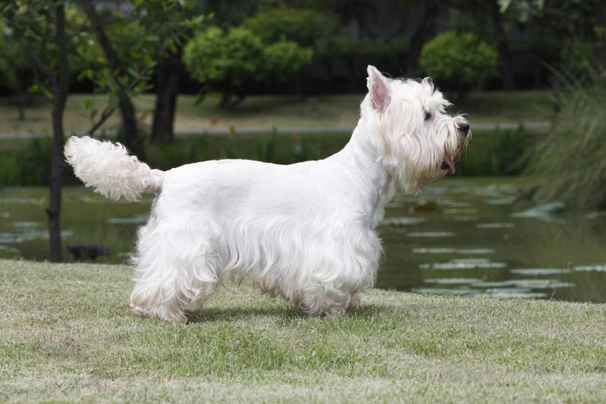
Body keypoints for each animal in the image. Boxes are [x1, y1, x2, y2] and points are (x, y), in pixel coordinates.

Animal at [65, 65, 470, 322]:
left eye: (441, 110)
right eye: (426, 116)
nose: (464, 127)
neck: (359, 172)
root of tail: (163, 177)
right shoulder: (335, 247)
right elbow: (333, 281)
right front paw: (335, 311)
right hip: (186, 242)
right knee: (163, 281)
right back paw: (167, 314)